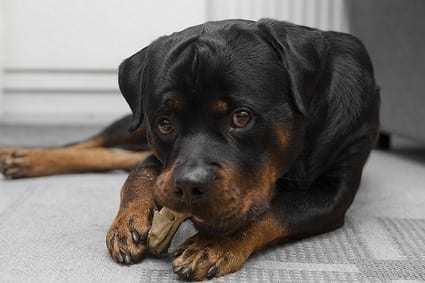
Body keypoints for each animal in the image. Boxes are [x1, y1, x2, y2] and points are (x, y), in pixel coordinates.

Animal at [0, 18, 378, 280]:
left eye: (242, 117)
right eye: (165, 123)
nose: (188, 186)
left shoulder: (333, 193)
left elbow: (273, 211)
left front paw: (213, 244)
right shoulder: (160, 152)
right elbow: (138, 175)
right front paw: (127, 221)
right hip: (135, 124)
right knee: (95, 143)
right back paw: (21, 156)